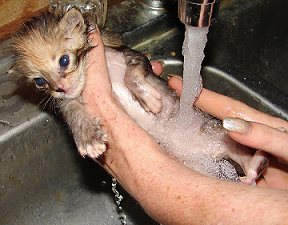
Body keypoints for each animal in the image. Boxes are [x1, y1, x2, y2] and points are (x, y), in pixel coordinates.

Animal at [10, 7, 268, 184]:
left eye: (64, 60)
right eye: (39, 81)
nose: (60, 89)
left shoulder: (131, 56)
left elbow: (131, 75)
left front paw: (150, 100)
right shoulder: (69, 101)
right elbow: (72, 111)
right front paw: (88, 137)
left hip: (213, 127)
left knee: (235, 145)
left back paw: (255, 162)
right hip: (199, 166)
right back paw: (251, 171)